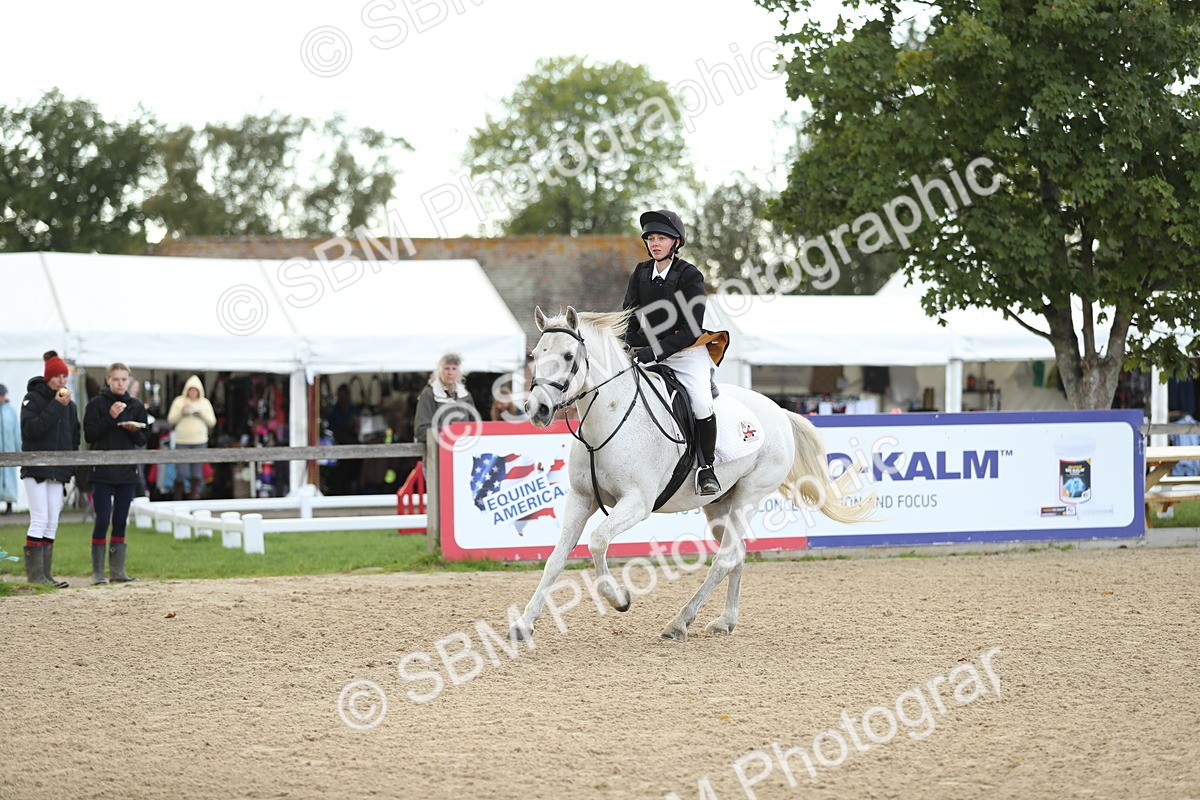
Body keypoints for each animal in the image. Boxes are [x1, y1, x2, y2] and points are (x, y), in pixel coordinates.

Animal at [509, 306, 873, 642]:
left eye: (569, 356)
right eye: (535, 355)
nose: (537, 409)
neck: (610, 418)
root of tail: (780, 411)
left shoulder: (637, 503)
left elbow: (598, 542)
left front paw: (619, 599)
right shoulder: (580, 499)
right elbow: (556, 560)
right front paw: (524, 624)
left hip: (749, 494)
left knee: (725, 557)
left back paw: (679, 622)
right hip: (720, 504)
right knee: (737, 552)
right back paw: (725, 621)